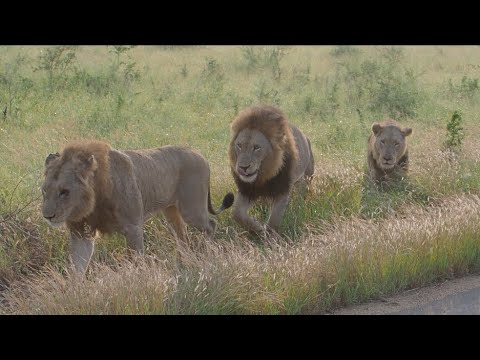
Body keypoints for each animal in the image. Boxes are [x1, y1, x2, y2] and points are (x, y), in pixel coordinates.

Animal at [42, 141, 233, 272]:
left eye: (64, 192)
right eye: (44, 190)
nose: (47, 216)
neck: (92, 201)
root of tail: (198, 152)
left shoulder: (133, 227)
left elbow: (136, 260)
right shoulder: (80, 233)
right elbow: (78, 266)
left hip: (191, 209)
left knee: (210, 224)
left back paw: (208, 255)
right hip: (171, 212)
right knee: (182, 236)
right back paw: (186, 262)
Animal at [229, 105, 316, 235]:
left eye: (257, 147)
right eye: (239, 145)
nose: (243, 167)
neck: (264, 175)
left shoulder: (282, 189)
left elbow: (274, 220)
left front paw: (269, 236)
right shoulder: (248, 190)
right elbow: (237, 213)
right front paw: (258, 229)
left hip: (306, 176)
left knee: (302, 194)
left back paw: (297, 209)